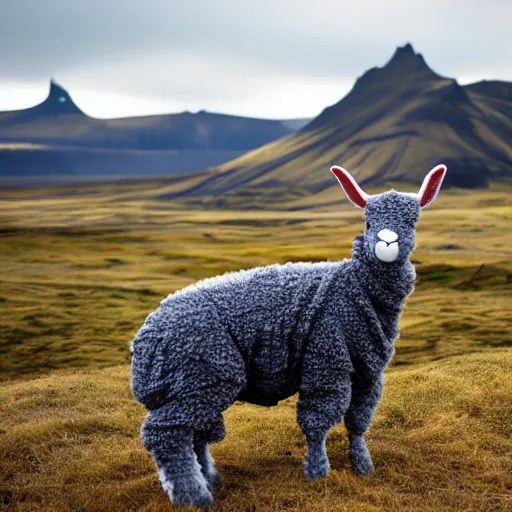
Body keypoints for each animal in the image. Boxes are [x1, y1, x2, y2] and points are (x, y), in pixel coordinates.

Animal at [131, 164, 448, 508]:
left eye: (412, 221)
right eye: (367, 220)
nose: (386, 243)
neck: (353, 285)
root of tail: (145, 337)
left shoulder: (370, 370)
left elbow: (358, 421)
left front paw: (363, 466)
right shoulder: (326, 358)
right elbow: (317, 421)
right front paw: (318, 473)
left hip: (191, 382)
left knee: (195, 432)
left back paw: (210, 480)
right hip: (206, 371)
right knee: (165, 433)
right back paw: (195, 497)